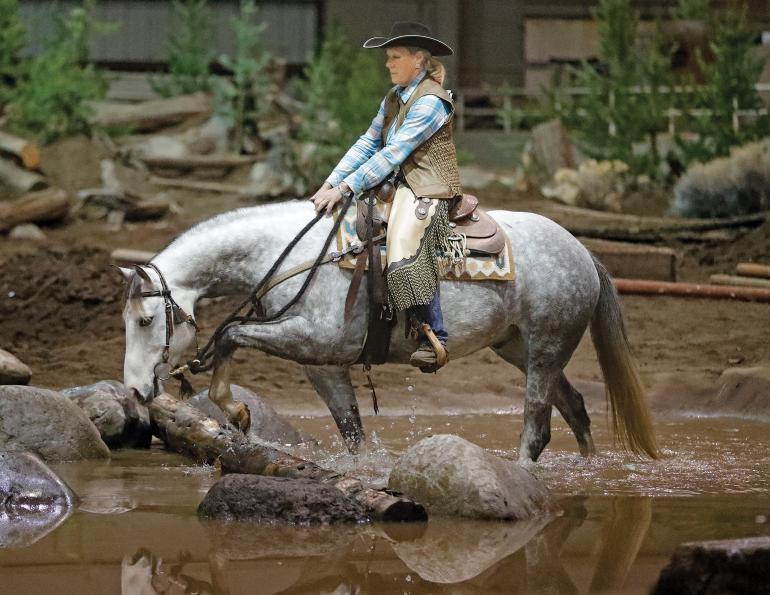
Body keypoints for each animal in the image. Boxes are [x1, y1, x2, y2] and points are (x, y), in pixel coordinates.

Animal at [118, 200, 659, 464]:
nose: (136, 390)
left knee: (538, 427)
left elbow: (232, 335)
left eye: (146, 320)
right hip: (518, 347)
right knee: (576, 408)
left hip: (546, 346)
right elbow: (352, 431)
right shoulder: (322, 363)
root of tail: (581, 250)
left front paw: (235, 411)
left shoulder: (316, 338)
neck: (296, 255)